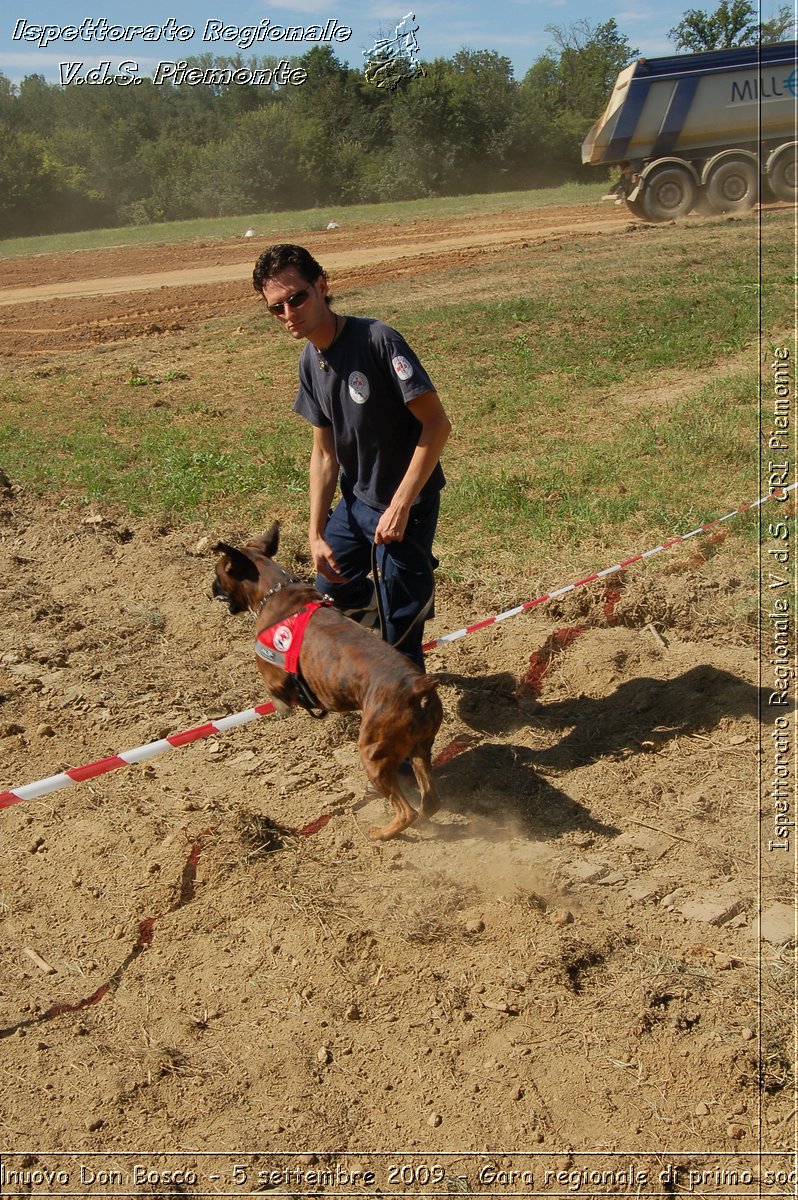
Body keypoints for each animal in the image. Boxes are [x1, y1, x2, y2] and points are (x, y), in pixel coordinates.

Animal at [211, 525, 441, 844]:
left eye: (219, 573)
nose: (210, 589)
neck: (275, 591)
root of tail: (418, 685)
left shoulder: (272, 672)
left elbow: (278, 693)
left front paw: (283, 707)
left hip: (373, 753)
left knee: (406, 812)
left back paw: (382, 833)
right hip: (419, 748)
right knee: (428, 800)